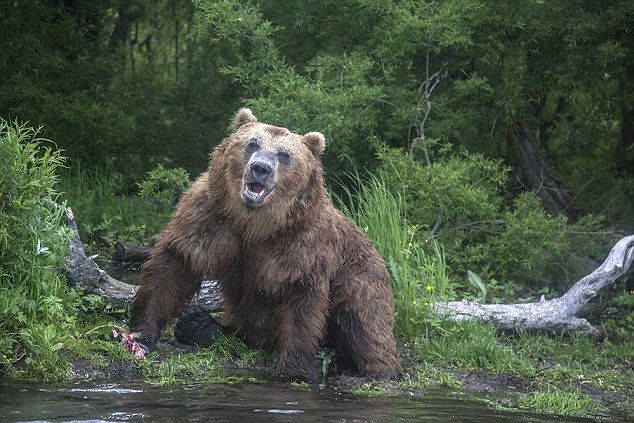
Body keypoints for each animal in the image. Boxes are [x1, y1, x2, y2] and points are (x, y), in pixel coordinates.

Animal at [130, 107, 398, 382]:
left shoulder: (301, 244)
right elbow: (175, 265)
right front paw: (143, 332)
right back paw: (200, 326)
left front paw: (293, 370)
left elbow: (302, 301)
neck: (255, 223)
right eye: (252, 143)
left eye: (284, 154)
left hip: (359, 276)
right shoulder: (209, 218)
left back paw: (376, 369)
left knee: (363, 319)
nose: (260, 168)